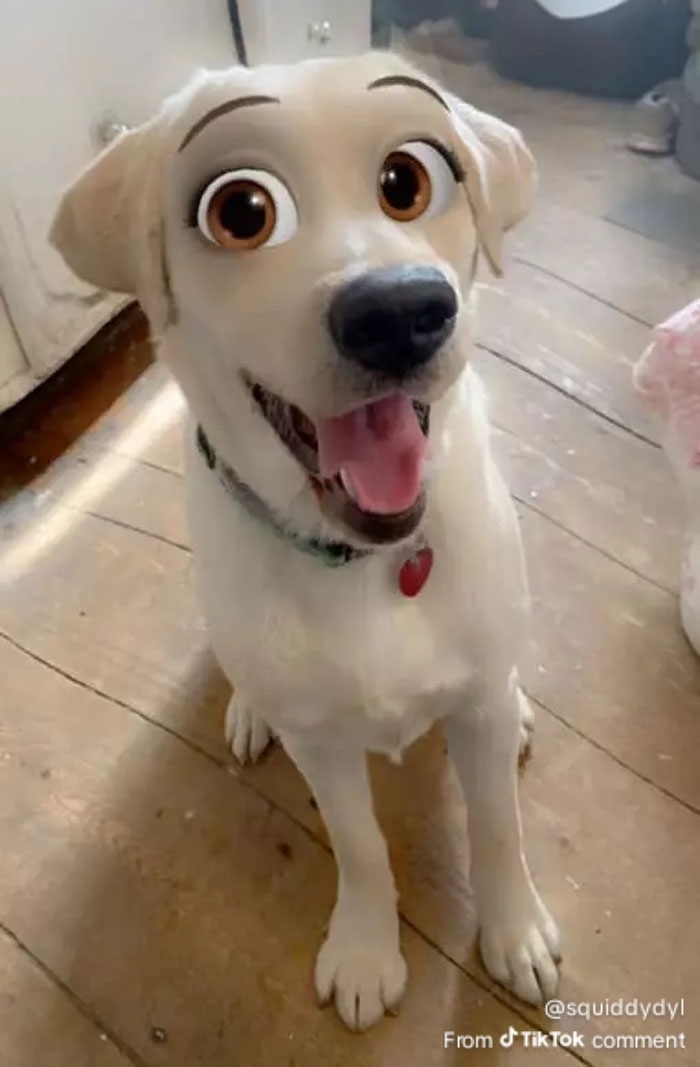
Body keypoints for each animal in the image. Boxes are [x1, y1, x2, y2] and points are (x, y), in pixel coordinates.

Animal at [50, 51, 561, 1031]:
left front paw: (514, 930)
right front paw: (365, 949)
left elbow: (500, 826)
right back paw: (251, 711)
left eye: (408, 181)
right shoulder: (322, 741)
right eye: (242, 210)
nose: (398, 313)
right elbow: (358, 843)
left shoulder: (474, 707)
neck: (366, 562)